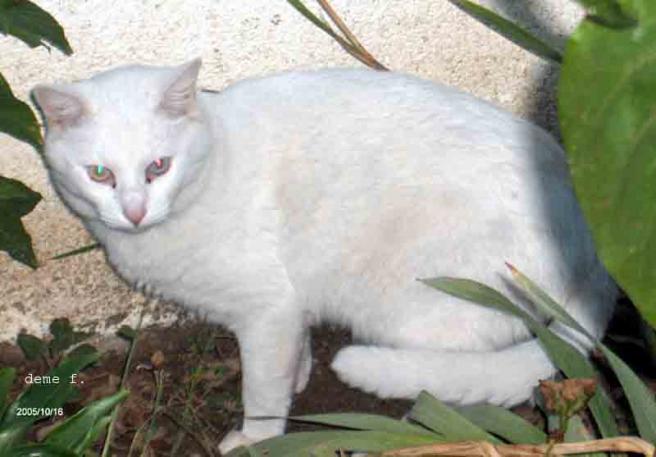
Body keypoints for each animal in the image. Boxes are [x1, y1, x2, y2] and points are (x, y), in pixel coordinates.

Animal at [33, 59, 617, 454]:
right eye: (99, 174)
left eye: (158, 166)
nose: (133, 211)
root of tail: (596, 253)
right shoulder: (289, 305)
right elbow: (295, 351)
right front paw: (300, 374)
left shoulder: (266, 309)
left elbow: (262, 388)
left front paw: (257, 438)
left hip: (416, 314)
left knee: (448, 385)